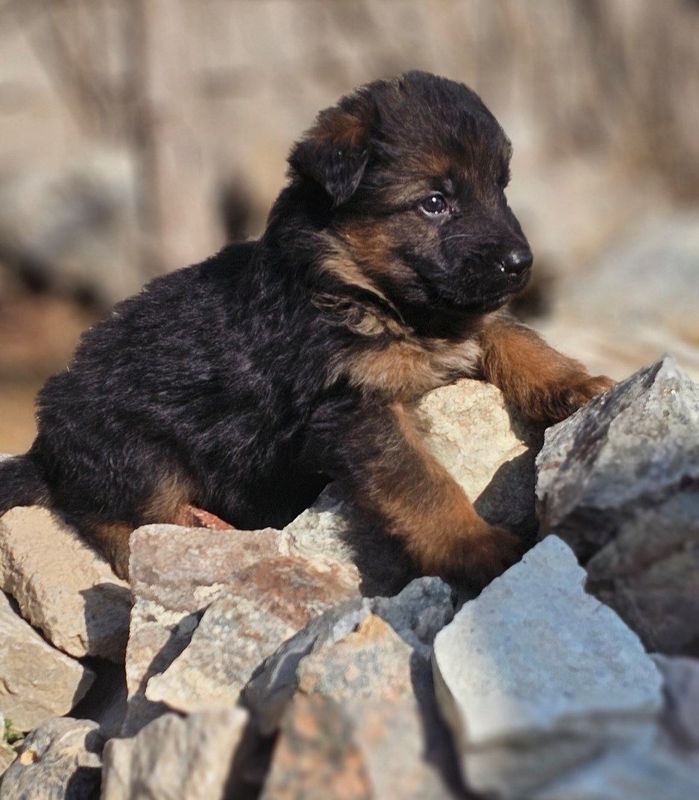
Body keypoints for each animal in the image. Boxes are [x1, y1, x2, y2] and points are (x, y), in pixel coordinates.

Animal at [0, 73, 612, 588]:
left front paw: (575, 386)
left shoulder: (458, 316)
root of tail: (45, 445)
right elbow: (424, 484)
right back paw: (200, 529)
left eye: (500, 188)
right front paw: (475, 545)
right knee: (114, 518)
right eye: (434, 202)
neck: (358, 287)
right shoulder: (354, 406)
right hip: (132, 452)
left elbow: (515, 336)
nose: (521, 263)